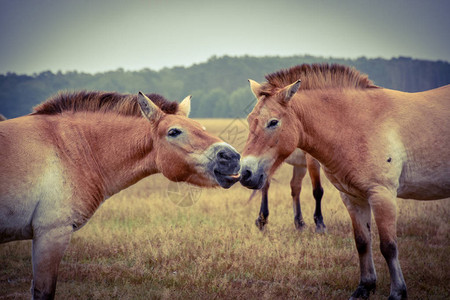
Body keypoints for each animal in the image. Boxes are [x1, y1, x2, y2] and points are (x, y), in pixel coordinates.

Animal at [239, 64, 450, 298]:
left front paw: (397, 292)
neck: (358, 123)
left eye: (273, 122)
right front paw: (365, 287)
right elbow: (362, 242)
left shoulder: (382, 195)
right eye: (250, 120)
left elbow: (388, 246)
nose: (245, 172)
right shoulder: (353, 197)